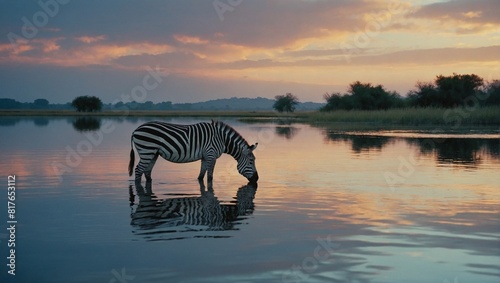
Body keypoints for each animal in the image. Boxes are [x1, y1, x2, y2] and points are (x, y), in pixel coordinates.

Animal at [129, 120, 260, 183]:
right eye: (251, 161)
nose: (257, 179)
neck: (222, 139)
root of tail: (136, 130)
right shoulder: (211, 155)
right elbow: (210, 177)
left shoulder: (205, 156)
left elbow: (201, 176)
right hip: (147, 150)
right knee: (138, 170)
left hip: (153, 153)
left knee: (147, 172)